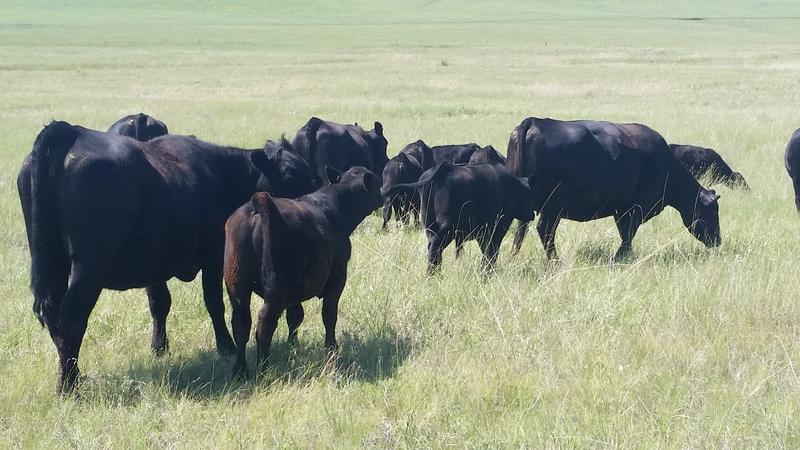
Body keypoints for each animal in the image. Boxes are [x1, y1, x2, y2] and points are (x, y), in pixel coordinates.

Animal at [16, 121, 316, 394]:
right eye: (290, 173)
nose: (308, 206)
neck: (221, 174)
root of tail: (70, 131)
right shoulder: (213, 255)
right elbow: (214, 303)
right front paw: (226, 347)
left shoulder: (153, 263)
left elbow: (159, 304)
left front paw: (159, 348)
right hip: (88, 266)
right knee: (71, 320)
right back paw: (69, 385)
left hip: (52, 265)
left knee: (56, 321)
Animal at [224, 166, 382, 378]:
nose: (382, 196)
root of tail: (258, 203)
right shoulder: (338, 276)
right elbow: (329, 314)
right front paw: (331, 348)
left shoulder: (295, 291)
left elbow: (295, 316)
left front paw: (293, 346)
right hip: (276, 289)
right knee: (264, 324)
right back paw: (264, 370)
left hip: (237, 284)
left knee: (241, 324)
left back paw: (239, 371)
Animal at [382, 162, 535, 274]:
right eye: (529, 195)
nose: (532, 214)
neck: (513, 187)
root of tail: (444, 169)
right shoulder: (497, 230)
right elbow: (491, 252)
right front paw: (487, 271)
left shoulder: (482, 234)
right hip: (447, 228)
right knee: (436, 247)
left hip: (429, 225)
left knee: (432, 248)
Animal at [507, 117, 722, 260]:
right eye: (712, 212)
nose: (718, 240)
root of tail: (535, 121)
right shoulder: (636, 208)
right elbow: (628, 233)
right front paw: (621, 256)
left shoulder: (621, 209)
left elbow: (625, 233)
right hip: (553, 205)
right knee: (545, 230)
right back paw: (555, 261)